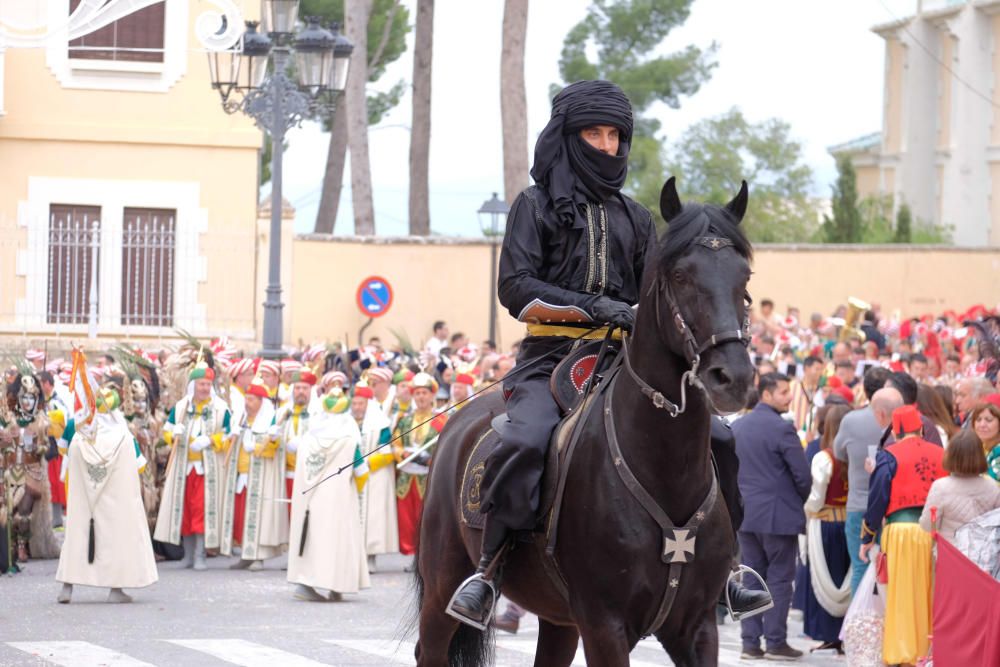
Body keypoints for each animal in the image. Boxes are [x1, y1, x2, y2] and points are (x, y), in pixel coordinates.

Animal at [412, 179, 752, 667]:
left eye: (744, 279)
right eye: (680, 276)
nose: (732, 378)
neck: (663, 466)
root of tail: (456, 424)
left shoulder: (697, 626)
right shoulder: (604, 625)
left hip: (558, 619)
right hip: (443, 585)